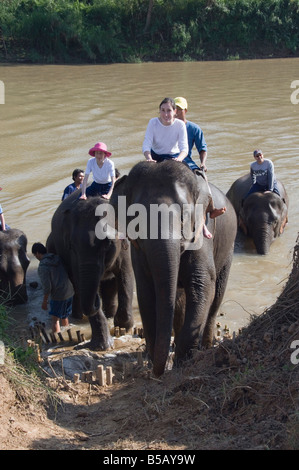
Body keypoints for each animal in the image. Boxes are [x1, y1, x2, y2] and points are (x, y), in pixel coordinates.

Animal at [46, 189, 134, 350]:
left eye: (107, 244)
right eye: (71, 246)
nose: (96, 299)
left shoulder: (125, 247)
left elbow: (125, 276)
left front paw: (123, 328)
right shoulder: (73, 257)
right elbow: (80, 282)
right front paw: (103, 346)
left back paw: (109, 314)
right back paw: (78, 317)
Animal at [111, 160, 238, 376]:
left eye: (183, 218)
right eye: (136, 220)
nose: (159, 371)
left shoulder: (201, 236)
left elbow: (203, 286)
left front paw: (182, 360)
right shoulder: (138, 251)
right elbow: (146, 293)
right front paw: (154, 359)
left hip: (228, 248)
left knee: (216, 296)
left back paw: (206, 346)